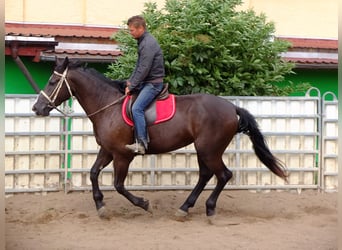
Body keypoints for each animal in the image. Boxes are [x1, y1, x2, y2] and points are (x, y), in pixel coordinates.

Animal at [32, 57, 288, 221]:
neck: (108, 106)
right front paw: (100, 205)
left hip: (209, 149)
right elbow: (93, 173)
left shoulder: (123, 155)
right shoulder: (107, 150)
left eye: (52, 82)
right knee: (206, 175)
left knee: (223, 175)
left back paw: (208, 209)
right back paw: (185, 208)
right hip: (204, 150)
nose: (37, 108)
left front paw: (144, 204)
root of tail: (231, 107)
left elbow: (119, 185)